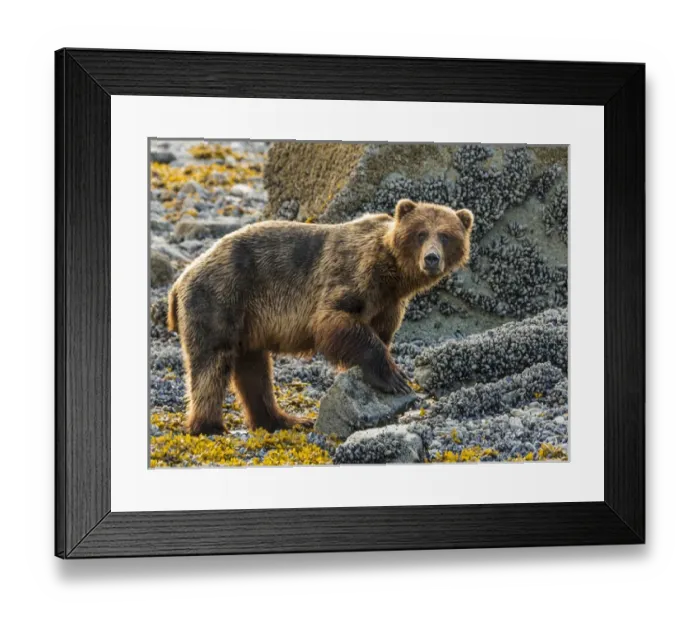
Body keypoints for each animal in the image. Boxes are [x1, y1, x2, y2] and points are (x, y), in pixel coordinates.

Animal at [167, 199, 474, 435]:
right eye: (421, 233)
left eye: (445, 235)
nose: (432, 258)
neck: (392, 277)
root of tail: (180, 279)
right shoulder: (350, 276)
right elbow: (335, 321)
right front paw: (394, 377)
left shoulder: (388, 305)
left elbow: (381, 332)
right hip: (221, 298)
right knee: (212, 364)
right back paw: (209, 426)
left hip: (247, 322)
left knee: (254, 370)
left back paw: (282, 420)